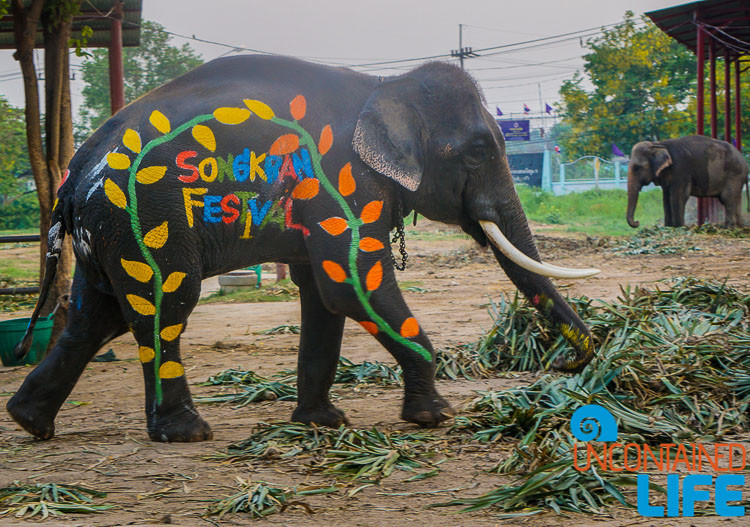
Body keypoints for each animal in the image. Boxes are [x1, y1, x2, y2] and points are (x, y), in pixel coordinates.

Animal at [7, 55, 600, 444]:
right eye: (477, 151)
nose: (569, 363)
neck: (383, 87)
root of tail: (70, 180)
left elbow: (324, 293)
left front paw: (324, 423)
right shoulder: (343, 181)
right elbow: (353, 284)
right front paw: (435, 417)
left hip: (105, 233)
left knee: (95, 316)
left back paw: (28, 421)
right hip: (144, 218)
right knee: (165, 302)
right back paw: (189, 433)